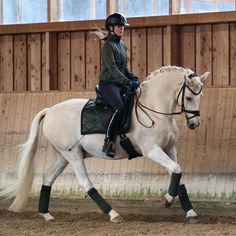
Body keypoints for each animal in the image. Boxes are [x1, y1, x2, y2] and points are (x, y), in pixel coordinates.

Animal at [0, 66, 209, 223]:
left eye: (201, 96)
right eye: (189, 97)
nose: (194, 124)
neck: (155, 110)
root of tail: (50, 110)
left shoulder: (169, 149)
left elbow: (178, 174)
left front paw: (191, 213)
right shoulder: (152, 150)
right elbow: (176, 169)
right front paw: (167, 200)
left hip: (62, 155)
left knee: (48, 178)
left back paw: (46, 215)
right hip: (73, 155)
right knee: (85, 183)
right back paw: (113, 214)